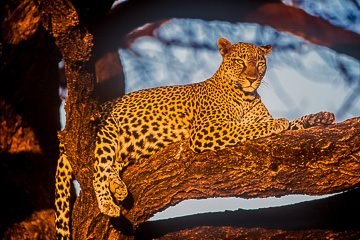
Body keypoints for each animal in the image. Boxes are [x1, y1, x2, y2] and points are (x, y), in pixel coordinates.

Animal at [54, 37, 334, 238]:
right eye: (240, 62)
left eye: (260, 63)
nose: (253, 78)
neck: (246, 96)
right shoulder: (206, 130)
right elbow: (247, 129)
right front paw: (278, 123)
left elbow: (293, 125)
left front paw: (320, 118)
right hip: (107, 130)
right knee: (98, 168)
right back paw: (108, 203)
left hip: (131, 147)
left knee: (113, 165)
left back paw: (119, 188)